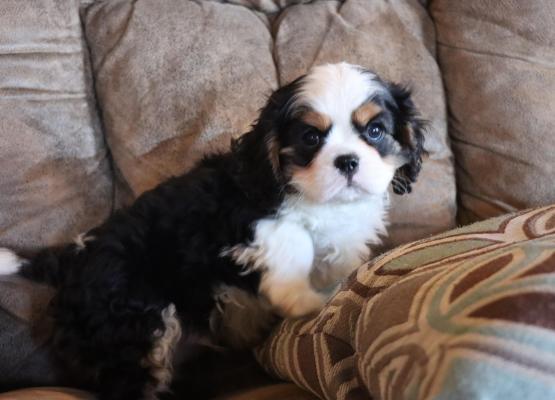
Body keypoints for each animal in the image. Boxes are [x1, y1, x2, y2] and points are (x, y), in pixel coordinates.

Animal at [0, 61, 426, 398]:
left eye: (375, 131)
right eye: (310, 137)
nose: (348, 161)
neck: (319, 201)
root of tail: (75, 256)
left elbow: (340, 257)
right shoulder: (243, 216)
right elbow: (294, 238)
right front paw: (302, 299)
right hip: (133, 323)